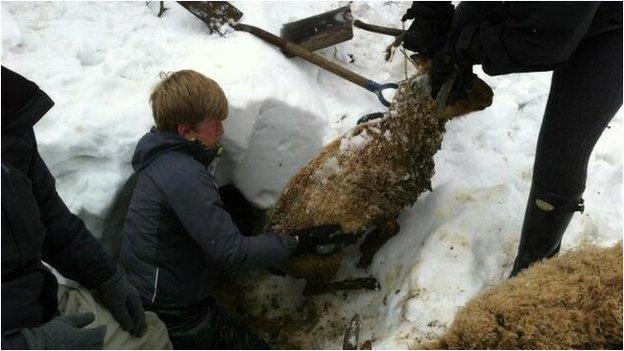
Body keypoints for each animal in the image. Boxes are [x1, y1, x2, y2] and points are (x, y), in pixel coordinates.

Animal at [266, 71, 494, 286]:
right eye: (460, 86)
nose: (491, 94)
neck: (394, 140)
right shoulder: (378, 207)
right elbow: (394, 228)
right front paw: (367, 253)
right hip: (324, 258)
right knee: (313, 289)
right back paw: (364, 283)